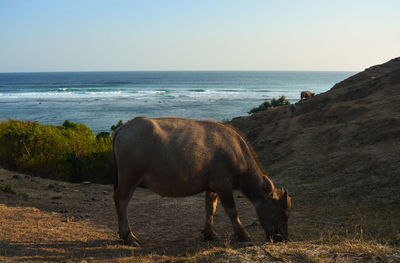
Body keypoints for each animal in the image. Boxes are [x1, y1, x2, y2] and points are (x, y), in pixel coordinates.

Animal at [111, 117, 290, 245]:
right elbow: (232, 211)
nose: (283, 239)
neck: (237, 152)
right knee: (121, 200)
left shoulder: (212, 186)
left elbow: (210, 208)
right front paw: (243, 235)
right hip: (130, 177)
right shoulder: (223, 186)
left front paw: (210, 233)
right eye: (283, 215)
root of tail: (124, 128)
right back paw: (128, 236)